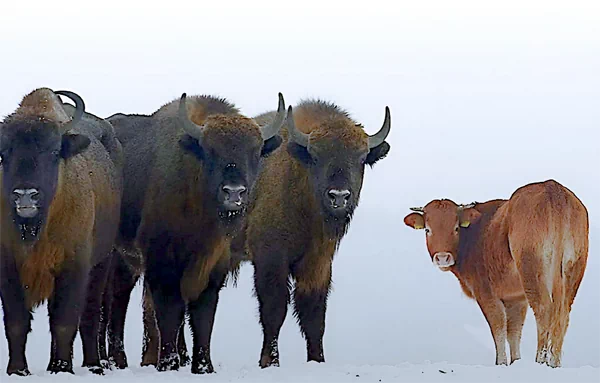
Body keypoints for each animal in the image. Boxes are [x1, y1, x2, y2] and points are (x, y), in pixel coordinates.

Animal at [0, 88, 122, 376]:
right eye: (4, 152)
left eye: (54, 151)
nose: (26, 195)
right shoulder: (8, 266)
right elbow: (16, 322)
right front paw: (17, 370)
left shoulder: (74, 266)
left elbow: (65, 322)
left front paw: (62, 368)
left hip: (102, 262)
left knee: (91, 316)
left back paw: (93, 364)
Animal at [101, 91, 288, 374]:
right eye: (210, 151)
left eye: (255, 152)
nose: (234, 192)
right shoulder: (162, 264)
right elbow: (170, 311)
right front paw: (169, 363)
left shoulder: (214, 267)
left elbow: (203, 316)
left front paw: (204, 366)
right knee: (107, 303)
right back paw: (107, 360)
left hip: (127, 261)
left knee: (118, 299)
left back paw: (117, 361)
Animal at [241, 100, 392, 368]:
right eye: (316, 156)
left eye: (361, 157)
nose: (339, 196)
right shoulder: (270, 260)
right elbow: (274, 310)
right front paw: (269, 362)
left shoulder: (317, 263)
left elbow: (313, 315)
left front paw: (317, 360)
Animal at [406, 181, 588, 368]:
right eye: (427, 230)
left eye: (456, 228)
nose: (442, 257)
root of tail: (552, 188)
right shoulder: (516, 298)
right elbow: (514, 331)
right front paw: (516, 361)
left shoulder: (486, 293)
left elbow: (498, 327)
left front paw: (500, 362)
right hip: (573, 270)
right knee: (563, 315)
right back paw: (555, 363)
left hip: (532, 270)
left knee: (543, 310)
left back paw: (540, 360)